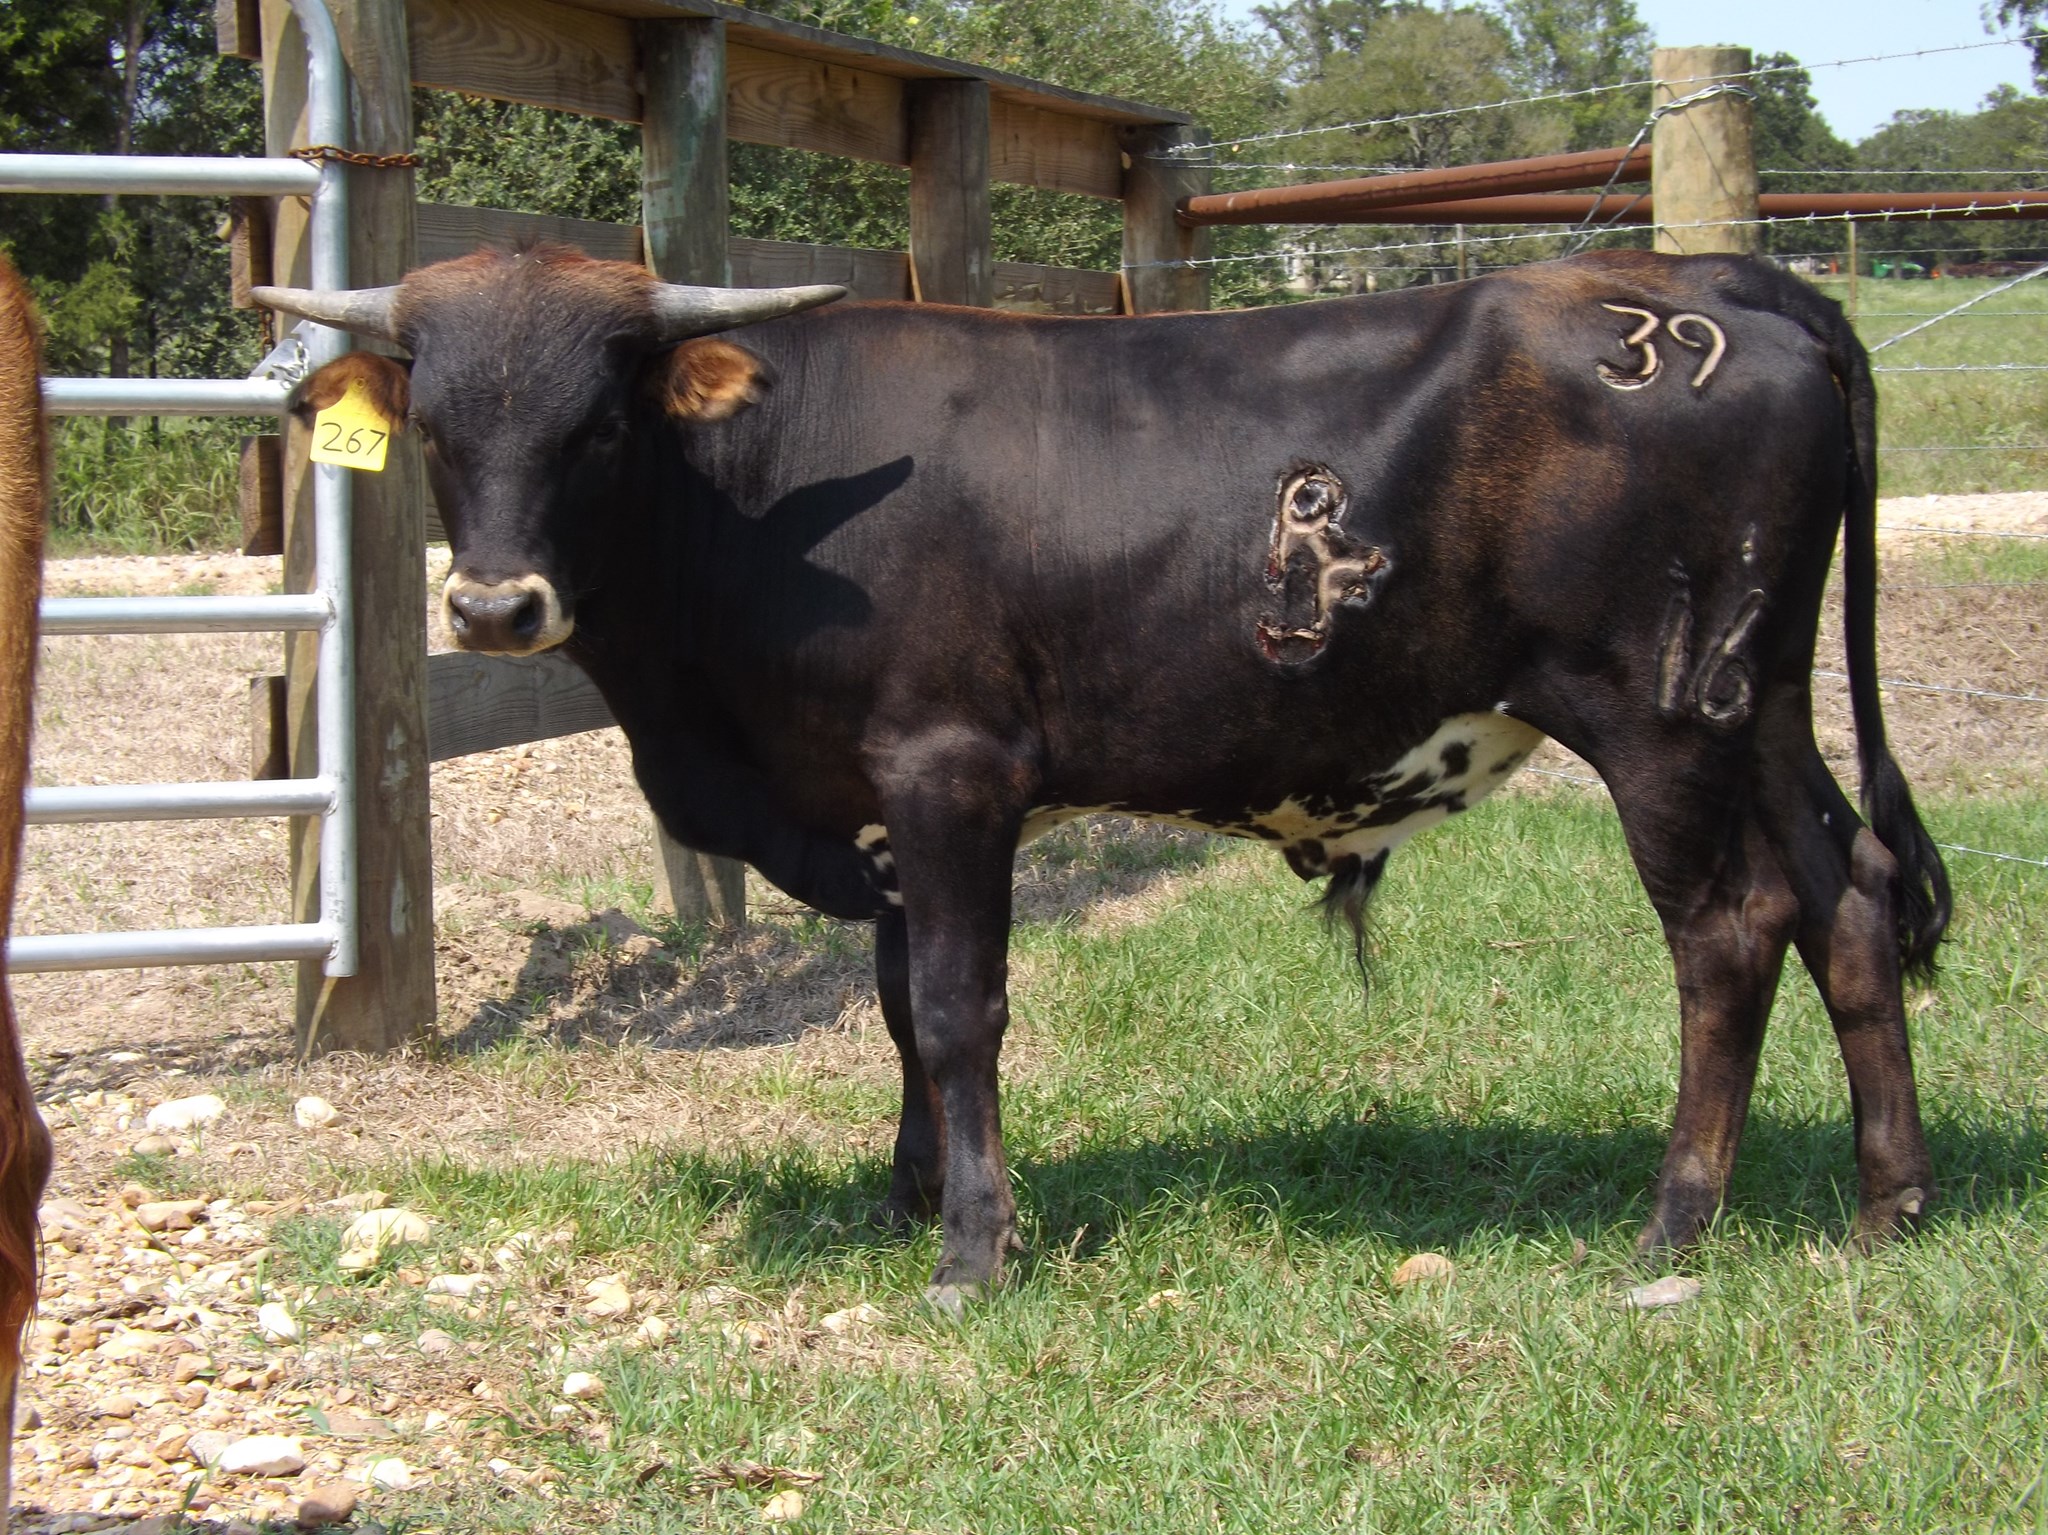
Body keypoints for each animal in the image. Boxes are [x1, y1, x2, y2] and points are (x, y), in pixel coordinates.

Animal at [257, 245, 1950, 1311]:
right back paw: (1889, 1206)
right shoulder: (881, 807)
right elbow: (898, 1006)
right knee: (1849, 899)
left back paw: (1672, 1219)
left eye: (601, 419)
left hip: (1661, 721)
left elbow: (956, 1008)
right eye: (436, 422)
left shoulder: (949, 771)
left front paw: (972, 1248)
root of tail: (1712, 280)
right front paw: (911, 1193)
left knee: (1729, 933)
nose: (494, 607)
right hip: (1759, 705)